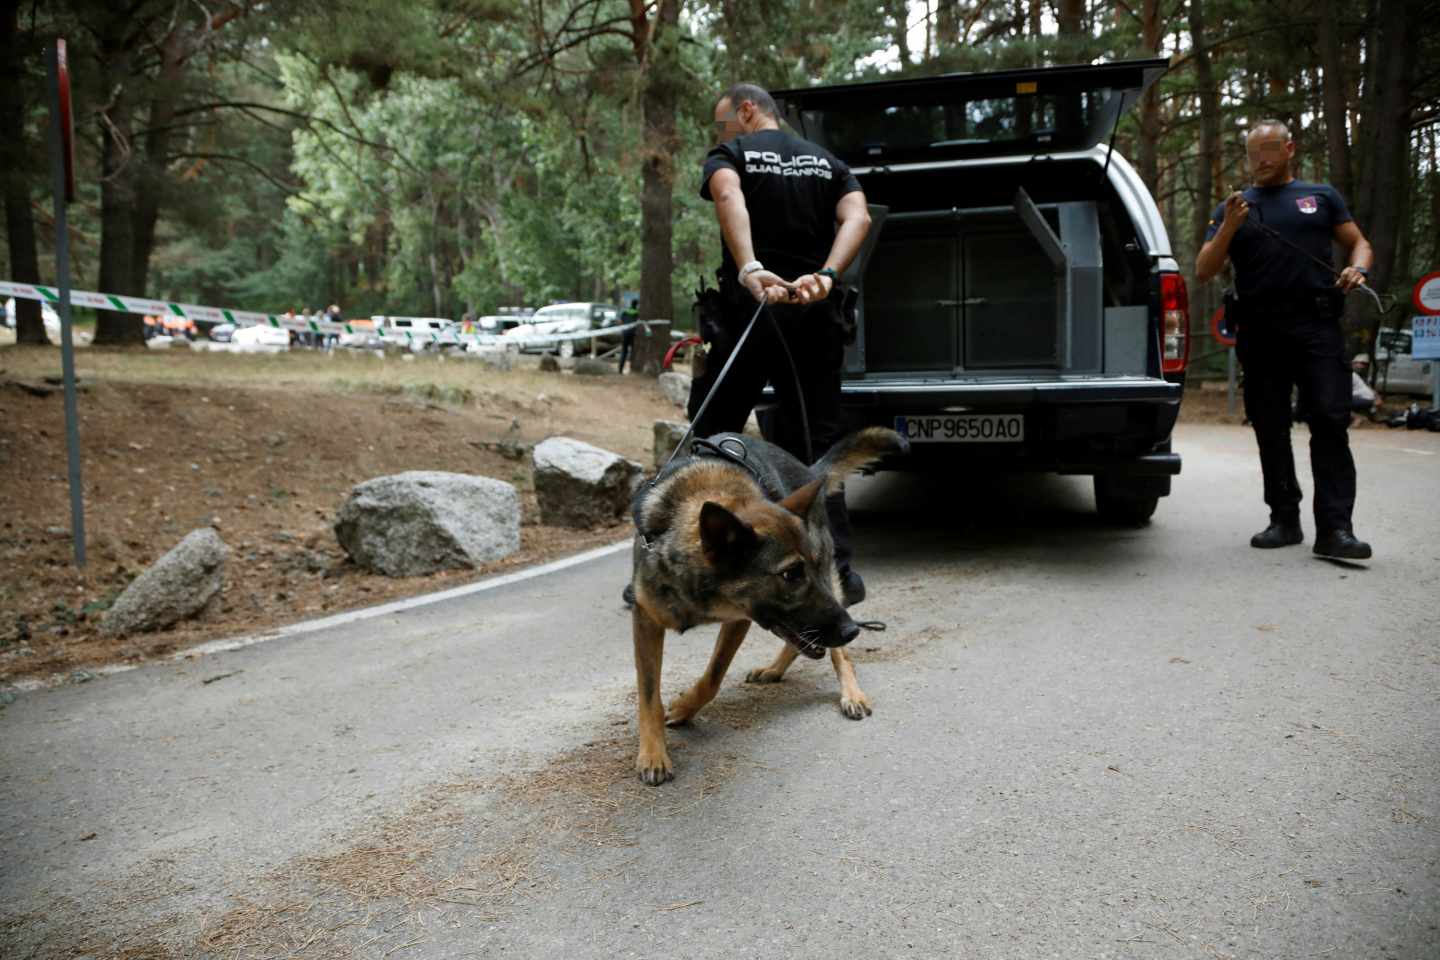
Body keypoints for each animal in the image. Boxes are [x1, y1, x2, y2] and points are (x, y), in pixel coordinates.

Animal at [627, 426, 904, 782]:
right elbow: (649, 695)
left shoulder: (739, 619)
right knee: (803, 643)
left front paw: (685, 707)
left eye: (810, 567)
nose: (853, 631)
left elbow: (713, 676)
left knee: (837, 653)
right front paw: (653, 754)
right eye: (790, 574)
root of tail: (808, 471)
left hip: (831, 593)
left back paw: (850, 693)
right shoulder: (646, 620)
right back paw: (775, 669)